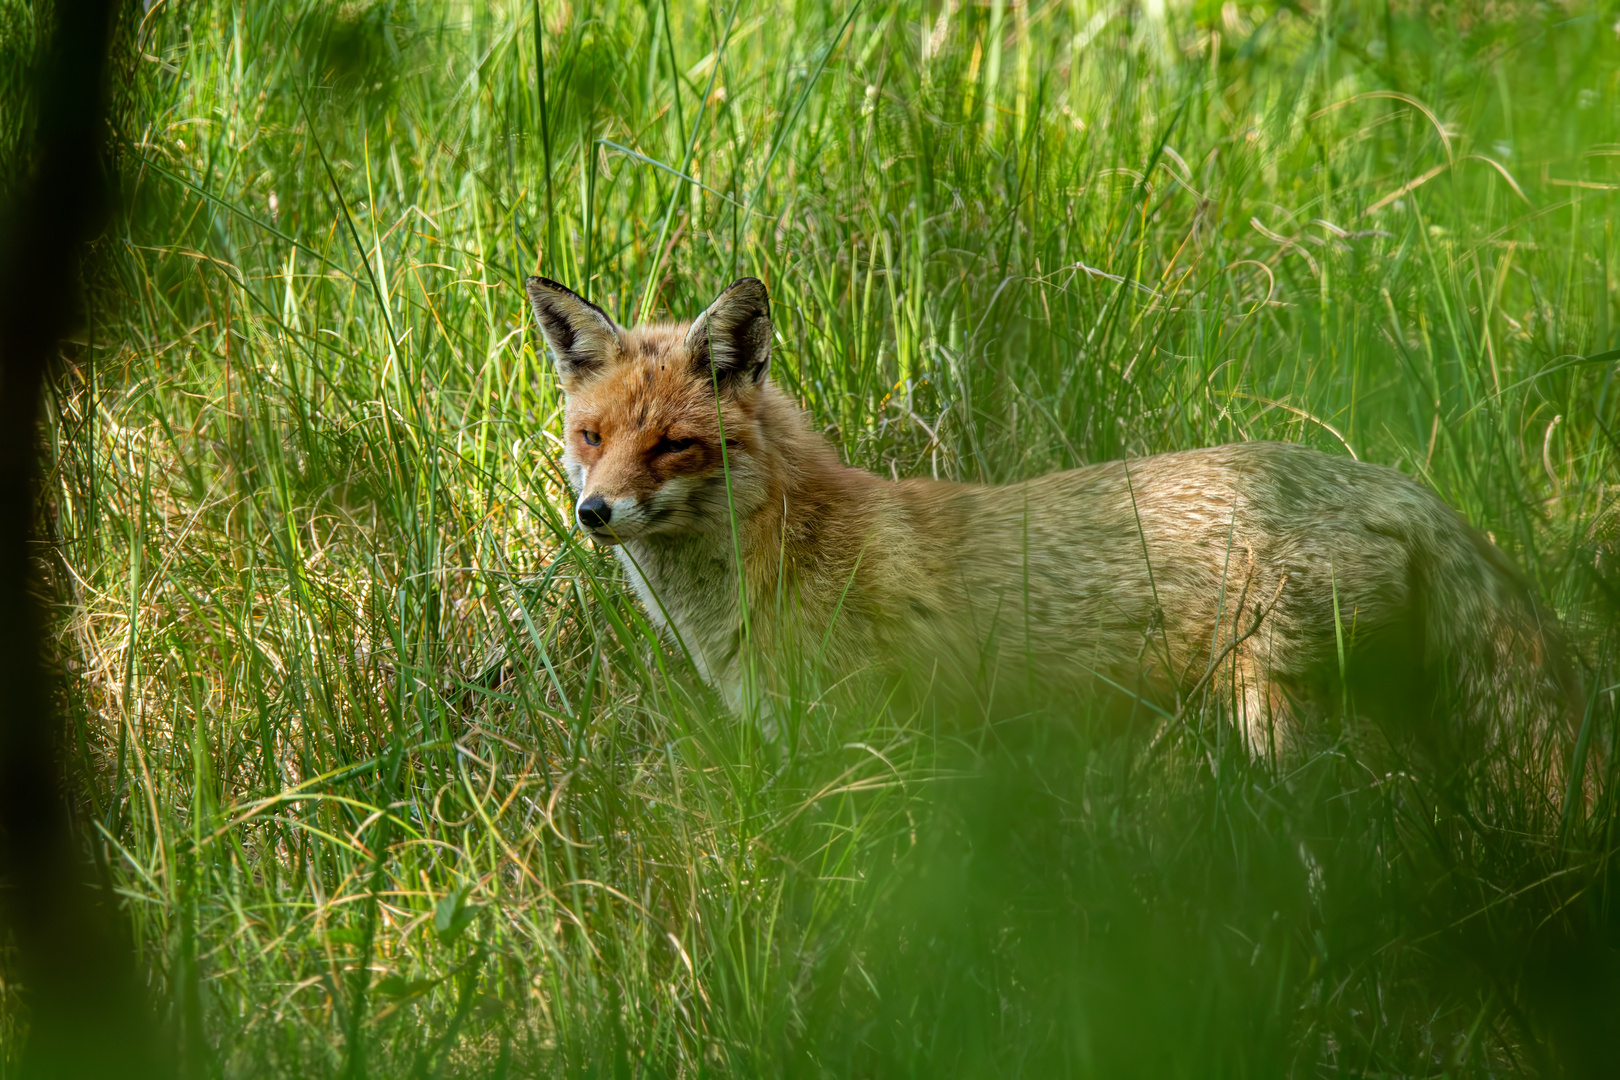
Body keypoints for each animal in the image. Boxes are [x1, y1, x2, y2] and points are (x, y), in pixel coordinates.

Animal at [528, 272, 1581, 767]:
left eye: (673, 445)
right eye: (591, 435)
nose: (594, 512)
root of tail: (1386, 478)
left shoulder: (872, 748)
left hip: (1279, 718)